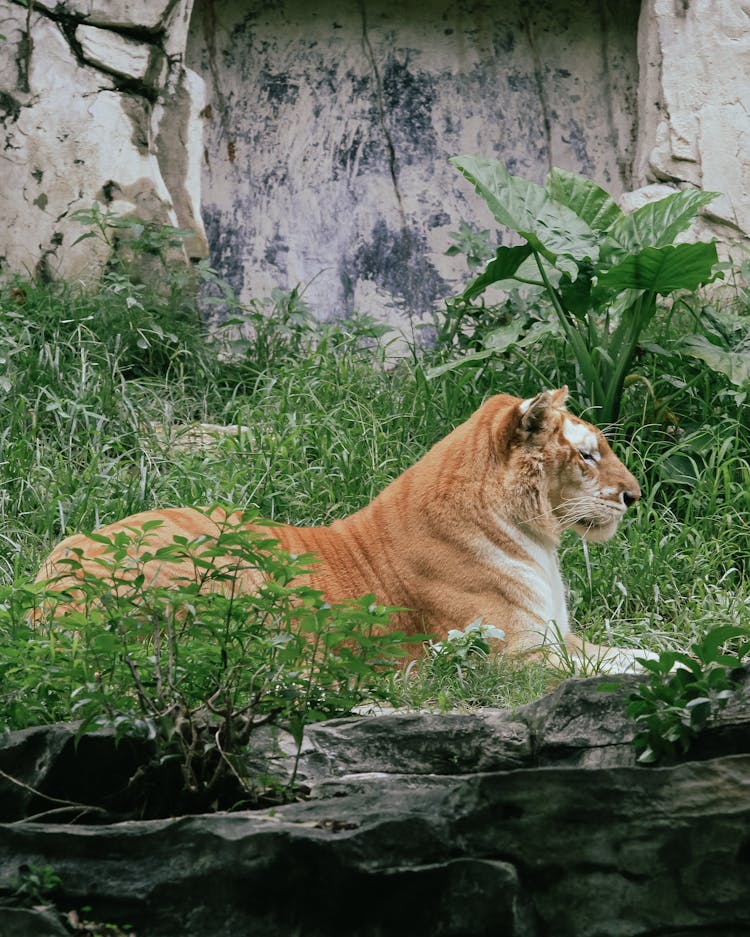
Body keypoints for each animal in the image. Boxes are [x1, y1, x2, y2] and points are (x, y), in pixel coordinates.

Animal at [35, 388, 652, 672]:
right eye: (588, 454)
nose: (635, 496)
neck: (538, 539)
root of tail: (40, 596)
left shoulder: (556, 635)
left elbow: (635, 650)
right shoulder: (517, 654)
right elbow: (609, 667)